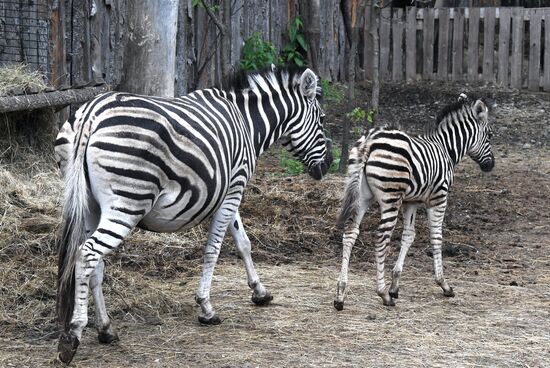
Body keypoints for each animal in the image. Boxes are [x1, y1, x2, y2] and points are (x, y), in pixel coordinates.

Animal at [55, 65, 332, 362]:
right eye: (322, 120)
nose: (327, 166)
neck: (248, 123)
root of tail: (91, 114)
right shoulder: (235, 186)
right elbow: (214, 250)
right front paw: (206, 308)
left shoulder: (229, 191)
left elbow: (243, 243)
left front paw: (260, 292)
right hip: (128, 200)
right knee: (88, 254)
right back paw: (73, 335)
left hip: (88, 205)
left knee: (94, 261)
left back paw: (106, 329)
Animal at [334, 95, 498, 310]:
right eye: (489, 135)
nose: (491, 165)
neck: (447, 150)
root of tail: (370, 140)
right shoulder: (438, 198)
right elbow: (436, 238)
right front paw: (443, 284)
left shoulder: (411, 201)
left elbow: (408, 236)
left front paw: (395, 286)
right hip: (391, 197)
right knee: (381, 237)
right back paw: (382, 294)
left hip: (362, 196)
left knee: (350, 233)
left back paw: (340, 294)